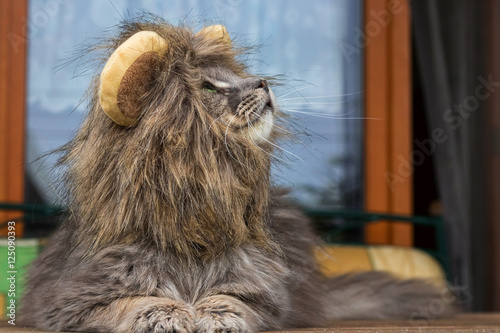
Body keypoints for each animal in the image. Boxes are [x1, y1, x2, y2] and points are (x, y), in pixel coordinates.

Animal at [20, 16, 458, 332]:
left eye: (238, 77)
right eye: (210, 88)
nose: (261, 81)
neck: (192, 232)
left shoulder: (272, 295)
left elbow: (234, 298)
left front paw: (213, 314)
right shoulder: (68, 300)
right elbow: (131, 302)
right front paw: (170, 313)